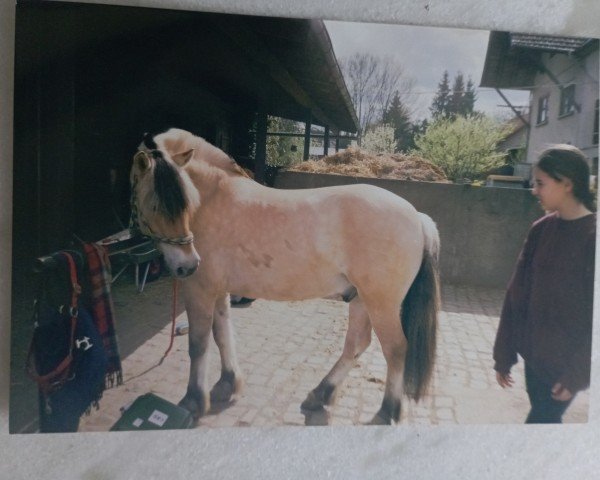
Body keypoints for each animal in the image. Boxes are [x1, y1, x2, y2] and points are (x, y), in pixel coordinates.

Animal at [131, 127, 440, 424]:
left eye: (183, 203)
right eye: (156, 204)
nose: (187, 265)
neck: (214, 200)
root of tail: (418, 217)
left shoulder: (199, 288)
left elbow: (198, 344)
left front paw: (193, 401)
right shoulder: (218, 290)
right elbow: (222, 336)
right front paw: (227, 385)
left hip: (381, 303)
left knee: (396, 349)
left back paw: (388, 410)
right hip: (362, 299)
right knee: (357, 344)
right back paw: (321, 394)